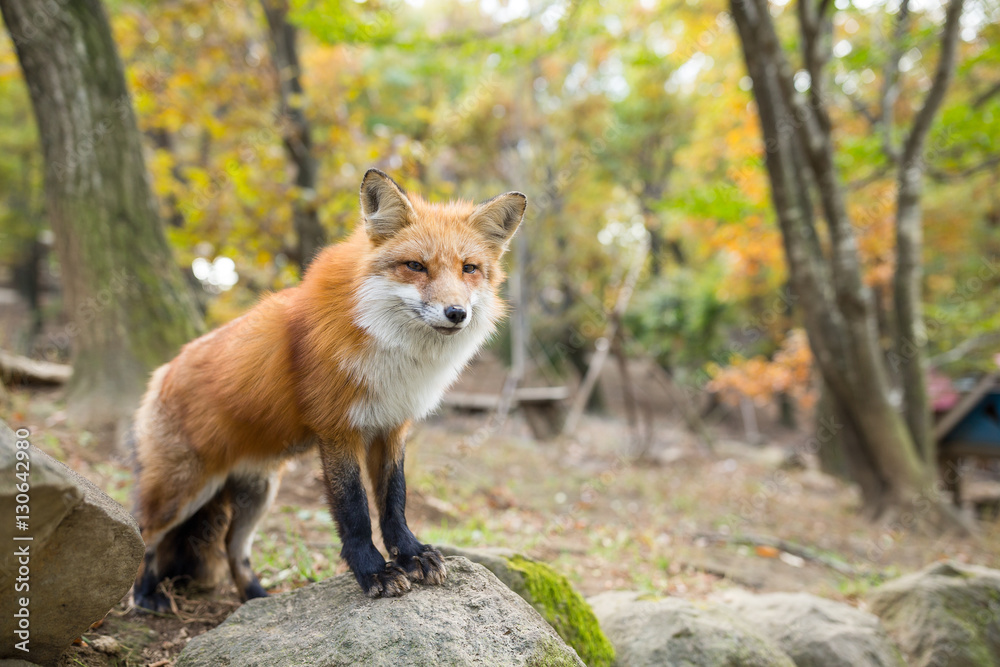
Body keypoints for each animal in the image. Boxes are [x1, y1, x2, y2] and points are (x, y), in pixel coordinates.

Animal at [131, 168, 525, 610]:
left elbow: (394, 500)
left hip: (258, 493)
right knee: (145, 533)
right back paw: (145, 595)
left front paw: (411, 555)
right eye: (415, 266)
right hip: (182, 491)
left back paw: (257, 597)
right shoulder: (338, 429)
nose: (456, 313)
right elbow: (354, 510)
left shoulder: (391, 426)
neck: (390, 351)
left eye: (469, 268)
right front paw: (373, 572)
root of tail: (162, 372)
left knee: (235, 547)